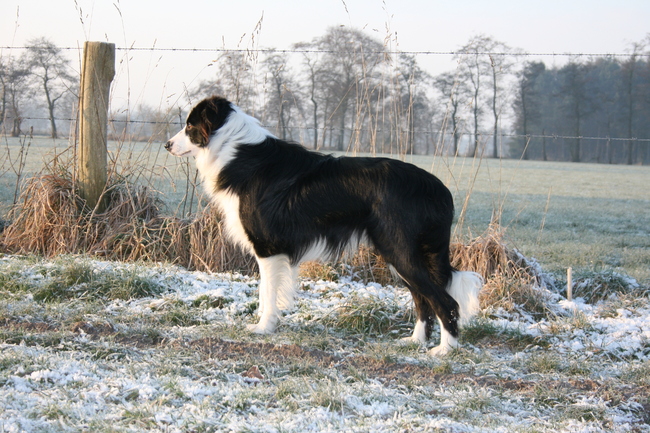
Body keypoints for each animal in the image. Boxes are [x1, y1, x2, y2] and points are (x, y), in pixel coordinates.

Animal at [165, 96, 482, 355]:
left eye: (190, 126)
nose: (166, 145)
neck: (235, 150)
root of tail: (439, 188)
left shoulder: (268, 248)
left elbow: (267, 293)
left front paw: (263, 328)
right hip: (401, 254)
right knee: (422, 299)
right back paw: (414, 341)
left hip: (401, 250)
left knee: (445, 302)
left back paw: (444, 350)